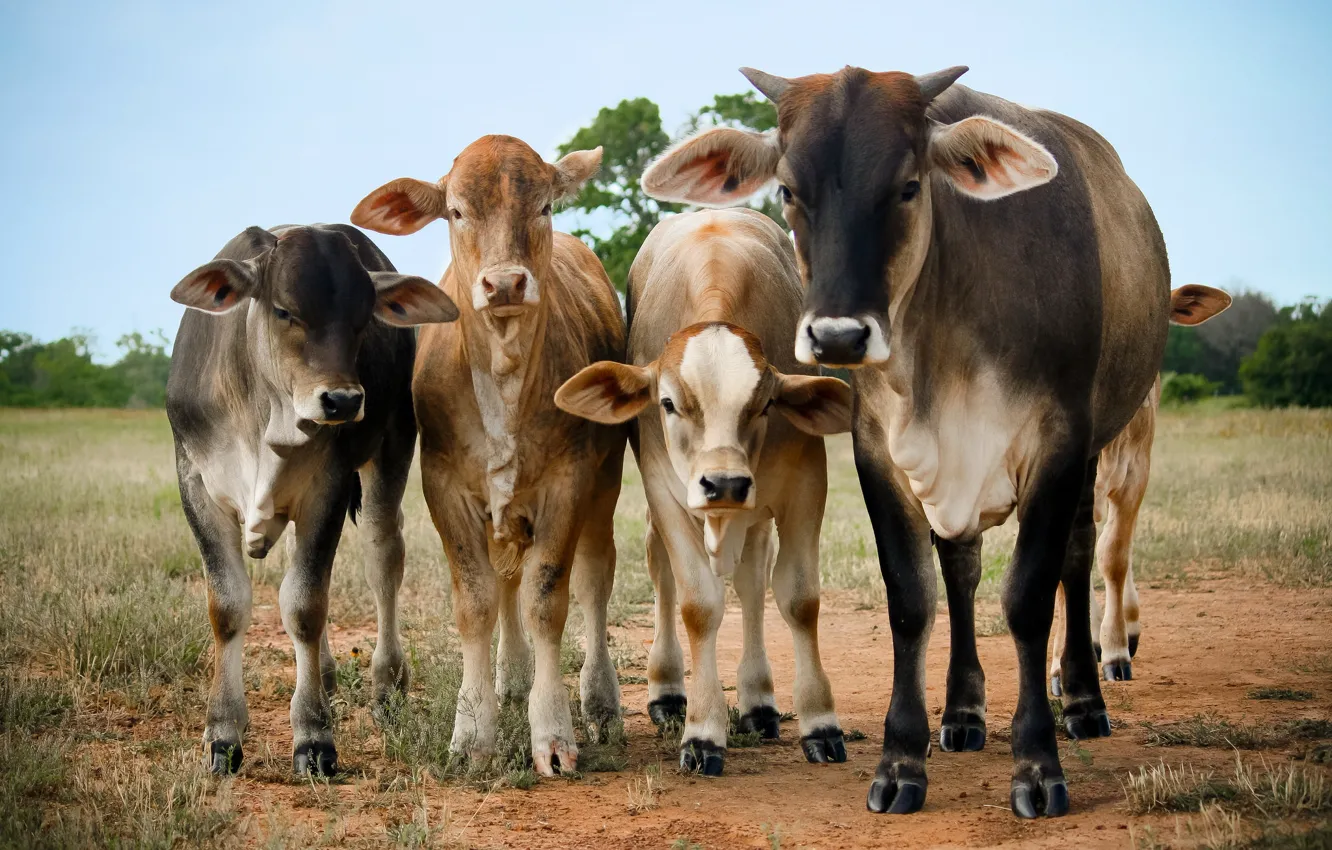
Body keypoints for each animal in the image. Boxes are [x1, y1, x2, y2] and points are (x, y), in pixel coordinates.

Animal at [167, 223, 458, 775]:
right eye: (284, 311)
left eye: (364, 318)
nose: (342, 401)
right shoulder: (195, 484)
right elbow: (228, 605)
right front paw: (222, 733)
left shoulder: (330, 485)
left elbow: (304, 605)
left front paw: (313, 737)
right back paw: (322, 674)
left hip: (392, 450)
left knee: (383, 560)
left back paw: (387, 687)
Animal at [349, 136, 626, 776]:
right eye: (455, 211)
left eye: (545, 206)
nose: (504, 284)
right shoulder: (445, 486)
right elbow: (477, 602)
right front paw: (474, 731)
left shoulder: (569, 485)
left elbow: (547, 601)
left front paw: (553, 732)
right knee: (504, 583)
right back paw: (511, 679)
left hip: (605, 486)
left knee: (593, 581)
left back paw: (599, 701)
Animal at [554, 208, 853, 776]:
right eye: (668, 403)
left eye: (765, 404)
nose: (725, 483)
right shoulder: (666, 493)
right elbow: (698, 605)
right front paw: (702, 731)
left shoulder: (806, 484)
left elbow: (798, 599)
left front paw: (820, 723)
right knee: (665, 577)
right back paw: (669, 692)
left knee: (754, 583)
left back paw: (759, 702)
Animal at [641, 64, 1174, 818]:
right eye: (789, 190)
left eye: (909, 186)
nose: (838, 337)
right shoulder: (880, 453)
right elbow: (912, 600)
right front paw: (902, 761)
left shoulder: (1060, 445)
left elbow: (1029, 598)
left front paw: (1037, 764)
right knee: (960, 571)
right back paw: (963, 713)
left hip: (1096, 444)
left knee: (1077, 555)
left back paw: (1082, 699)